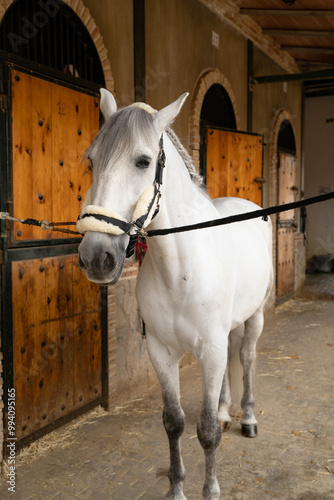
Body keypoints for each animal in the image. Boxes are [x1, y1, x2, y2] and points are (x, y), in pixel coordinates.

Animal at [77, 91, 272, 500]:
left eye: (143, 161)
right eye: (91, 160)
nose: (96, 258)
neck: (179, 270)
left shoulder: (209, 350)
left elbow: (207, 432)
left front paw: (210, 490)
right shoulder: (161, 352)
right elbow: (174, 422)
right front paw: (176, 489)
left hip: (255, 318)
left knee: (246, 359)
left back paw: (247, 418)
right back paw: (227, 411)